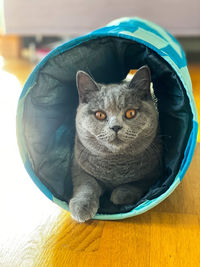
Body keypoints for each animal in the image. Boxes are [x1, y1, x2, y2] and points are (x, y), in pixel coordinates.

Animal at [69, 66, 162, 223]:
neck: (115, 164)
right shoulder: (78, 164)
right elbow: (86, 183)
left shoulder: (154, 173)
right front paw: (81, 206)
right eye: (100, 115)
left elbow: (139, 182)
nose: (116, 127)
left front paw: (121, 193)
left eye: (130, 113)